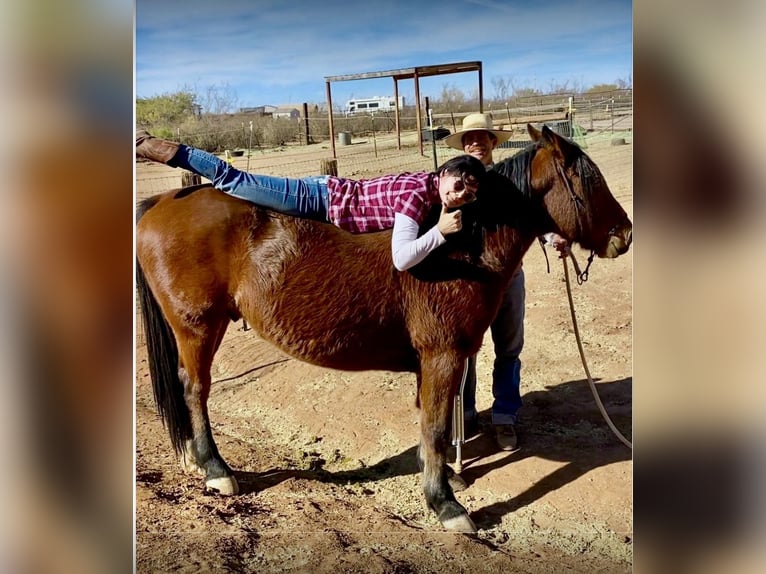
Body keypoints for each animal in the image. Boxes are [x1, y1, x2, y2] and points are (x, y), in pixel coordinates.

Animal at [138, 126, 636, 536]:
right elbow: (434, 426)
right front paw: (445, 505)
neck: (461, 248)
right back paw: (215, 469)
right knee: (195, 389)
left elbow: (435, 428)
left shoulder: (443, 359)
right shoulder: (442, 356)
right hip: (198, 327)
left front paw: (444, 478)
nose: (625, 234)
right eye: (589, 180)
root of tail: (160, 203)